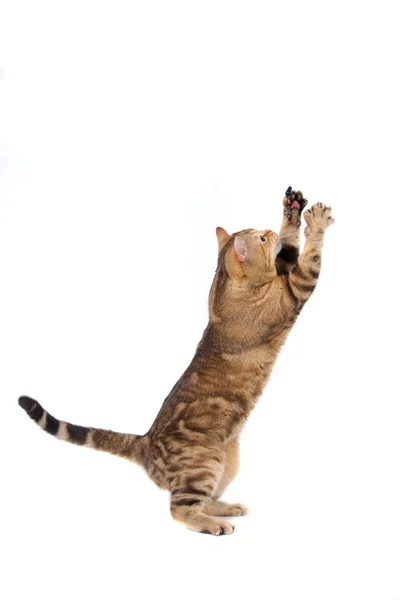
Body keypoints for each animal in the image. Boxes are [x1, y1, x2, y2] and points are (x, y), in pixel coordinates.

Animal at [18, 188, 334, 536]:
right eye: (262, 239)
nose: (269, 231)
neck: (224, 289)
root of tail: (144, 442)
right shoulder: (295, 288)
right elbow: (309, 255)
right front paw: (316, 222)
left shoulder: (285, 273)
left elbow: (291, 247)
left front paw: (292, 211)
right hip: (204, 462)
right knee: (181, 509)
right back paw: (214, 524)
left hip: (228, 462)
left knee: (205, 499)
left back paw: (226, 508)